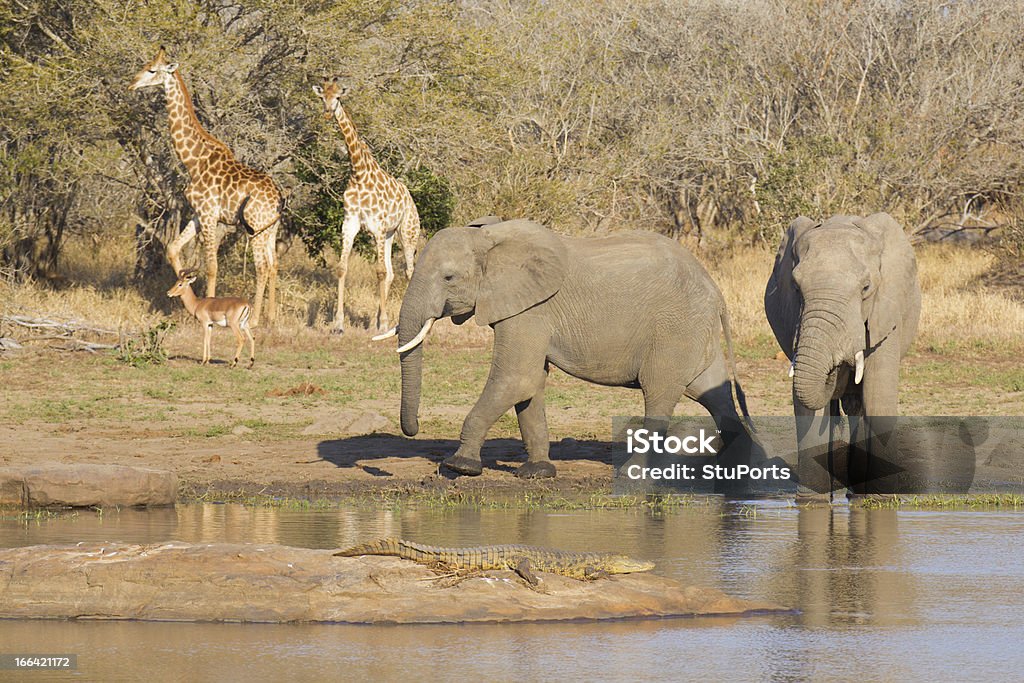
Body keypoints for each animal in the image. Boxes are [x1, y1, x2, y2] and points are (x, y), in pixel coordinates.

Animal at [132, 46, 284, 327]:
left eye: (152, 70)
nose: (132, 83)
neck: (193, 160)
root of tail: (279, 198)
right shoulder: (197, 214)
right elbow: (173, 248)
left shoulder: (209, 214)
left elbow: (212, 266)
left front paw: (207, 308)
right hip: (270, 228)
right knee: (274, 263)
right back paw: (270, 316)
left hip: (256, 228)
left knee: (261, 266)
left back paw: (255, 320)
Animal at [313, 77, 421, 333]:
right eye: (322, 97)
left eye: (338, 97)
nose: (328, 113)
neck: (359, 173)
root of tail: (410, 198)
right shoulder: (350, 223)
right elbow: (342, 268)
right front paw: (339, 324)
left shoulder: (376, 226)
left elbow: (379, 272)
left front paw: (383, 324)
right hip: (390, 234)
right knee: (392, 273)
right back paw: (377, 320)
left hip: (407, 231)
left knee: (408, 271)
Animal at [387, 220, 757, 481]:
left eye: (448, 278)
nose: (413, 429)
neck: (490, 239)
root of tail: (716, 292)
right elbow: (530, 384)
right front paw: (537, 473)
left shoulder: (530, 310)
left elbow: (516, 379)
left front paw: (459, 466)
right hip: (693, 332)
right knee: (713, 393)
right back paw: (734, 467)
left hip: (674, 330)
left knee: (659, 393)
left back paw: (633, 474)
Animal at [765, 210, 925, 499]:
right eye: (795, 287)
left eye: (866, 288)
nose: (838, 366)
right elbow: (808, 407)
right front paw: (812, 502)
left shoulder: (886, 313)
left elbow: (876, 397)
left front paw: (882, 499)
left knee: (858, 404)